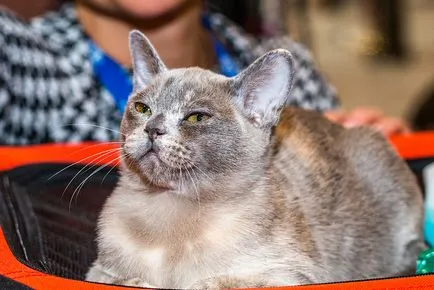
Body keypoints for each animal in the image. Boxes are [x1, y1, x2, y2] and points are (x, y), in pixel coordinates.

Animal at [85, 30, 424, 288]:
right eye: (142, 108)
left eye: (196, 117)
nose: (153, 129)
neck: (168, 213)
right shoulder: (98, 271)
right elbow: (123, 280)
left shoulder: (290, 275)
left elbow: (208, 282)